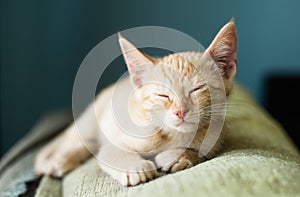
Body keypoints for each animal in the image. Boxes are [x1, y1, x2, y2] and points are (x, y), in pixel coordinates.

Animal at [34, 19, 237, 185]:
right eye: (162, 95)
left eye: (197, 89)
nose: (180, 112)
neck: (174, 134)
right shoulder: (114, 143)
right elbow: (113, 153)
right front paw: (136, 168)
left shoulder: (216, 139)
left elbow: (201, 152)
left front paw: (180, 156)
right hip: (91, 123)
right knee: (77, 141)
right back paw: (58, 160)